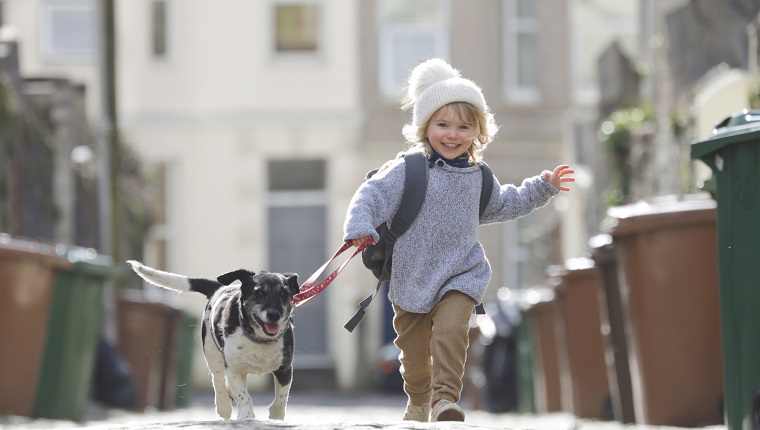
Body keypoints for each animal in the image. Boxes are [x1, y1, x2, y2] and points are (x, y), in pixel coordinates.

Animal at [126, 260, 298, 422]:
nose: (274, 315)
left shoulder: (285, 369)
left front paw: (276, 414)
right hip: (211, 353)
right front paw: (246, 415)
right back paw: (223, 406)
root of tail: (218, 289)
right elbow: (243, 395)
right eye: (260, 292)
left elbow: (281, 397)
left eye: (284, 293)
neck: (260, 339)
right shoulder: (234, 369)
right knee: (218, 379)